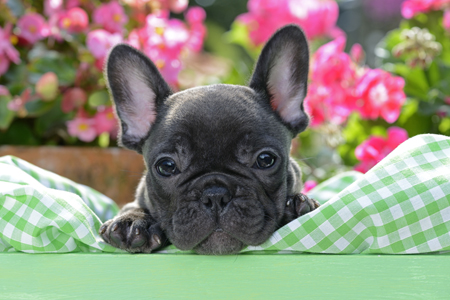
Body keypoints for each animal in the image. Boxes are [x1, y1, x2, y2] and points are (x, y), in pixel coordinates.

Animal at [100, 24, 322, 254]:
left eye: (265, 160)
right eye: (166, 166)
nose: (215, 195)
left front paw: (297, 205)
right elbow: (131, 206)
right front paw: (132, 221)